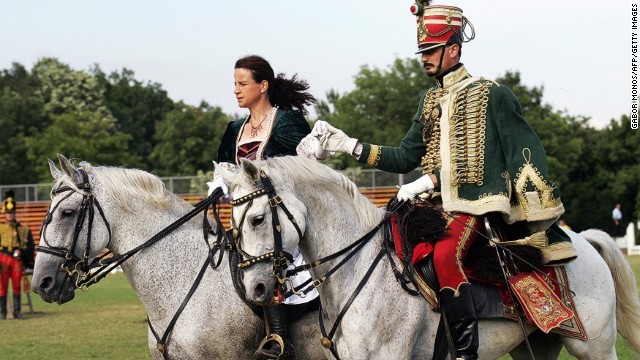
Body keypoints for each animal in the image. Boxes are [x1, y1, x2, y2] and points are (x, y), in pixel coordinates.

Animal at [220, 157, 640, 360]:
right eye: (232, 227)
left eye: (257, 219)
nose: (255, 289)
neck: (358, 270)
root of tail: (583, 242)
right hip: (535, 346)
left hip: (595, 348)